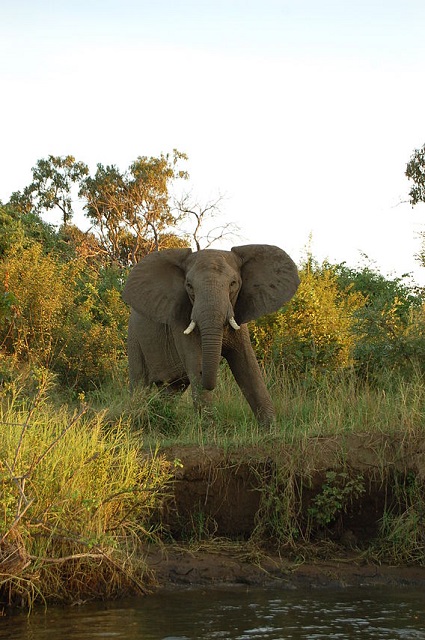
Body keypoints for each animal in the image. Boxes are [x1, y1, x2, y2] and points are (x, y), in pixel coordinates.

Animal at [121, 245, 300, 424]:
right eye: (189, 286)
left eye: (233, 284)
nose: (209, 382)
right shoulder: (181, 322)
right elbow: (195, 362)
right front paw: (208, 428)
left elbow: (248, 367)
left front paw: (270, 427)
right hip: (134, 338)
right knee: (140, 384)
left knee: (172, 390)